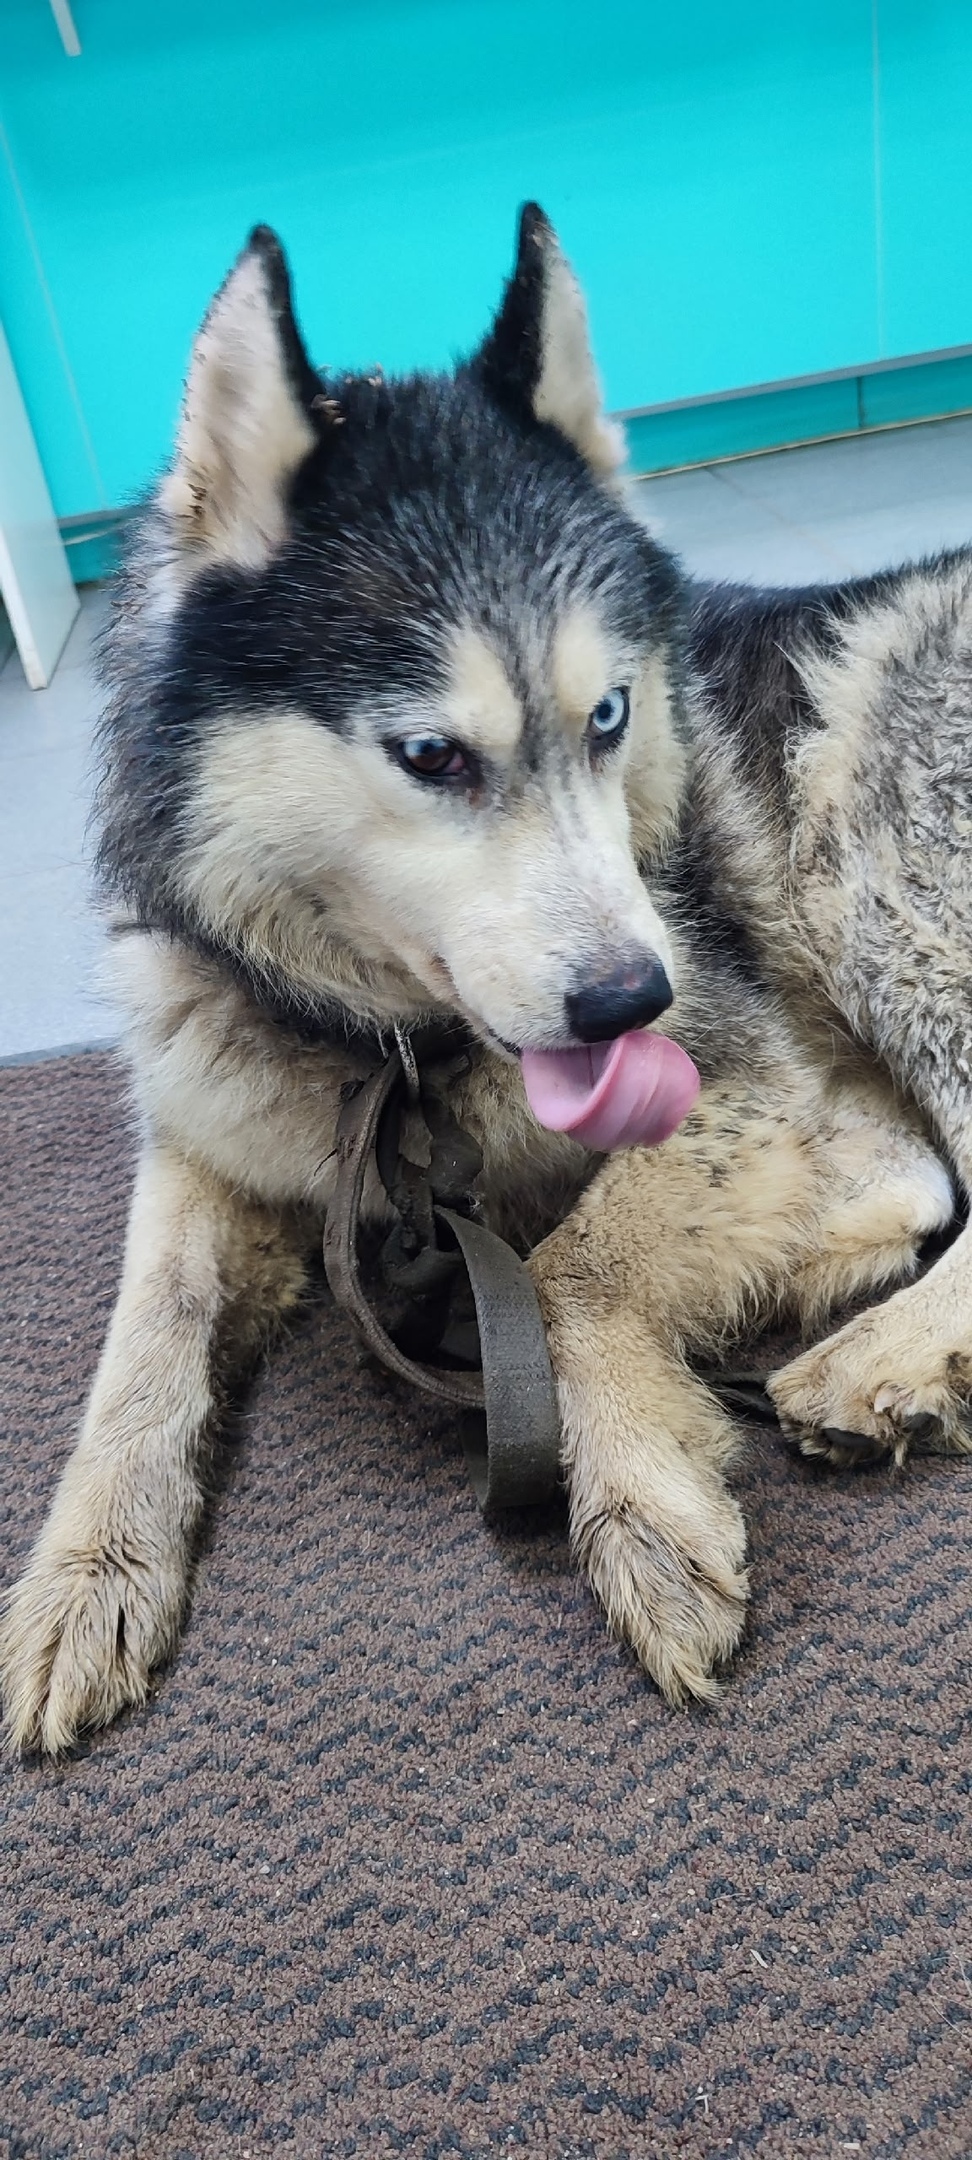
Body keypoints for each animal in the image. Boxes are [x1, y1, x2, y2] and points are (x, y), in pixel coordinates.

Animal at [3, 203, 970, 1757]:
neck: (390, 1051)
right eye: (430, 755)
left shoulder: (816, 1120)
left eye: (610, 715)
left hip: (872, 837)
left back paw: (883, 1358)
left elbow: (571, 1260)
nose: (637, 1005)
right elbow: (140, 1336)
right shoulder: (207, 1121)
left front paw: (640, 1492)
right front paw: (88, 1568)